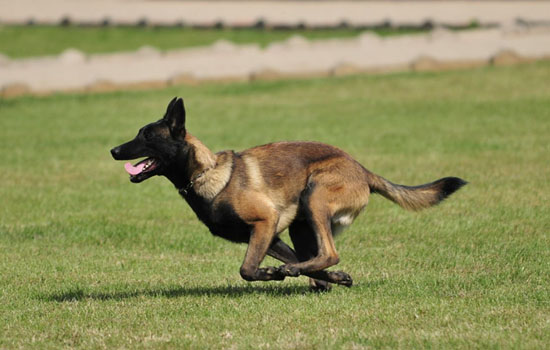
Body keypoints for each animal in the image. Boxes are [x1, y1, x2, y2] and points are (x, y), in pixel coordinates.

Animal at [112, 98, 470, 290]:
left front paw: (272, 273)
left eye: (146, 136)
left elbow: (247, 269)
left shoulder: (265, 222)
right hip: (302, 224)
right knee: (316, 258)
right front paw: (334, 279)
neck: (209, 172)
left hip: (315, 196)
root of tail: (363, 169)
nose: (114, 150)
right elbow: (301, 265)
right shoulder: (270, 236)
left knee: (329, 252)